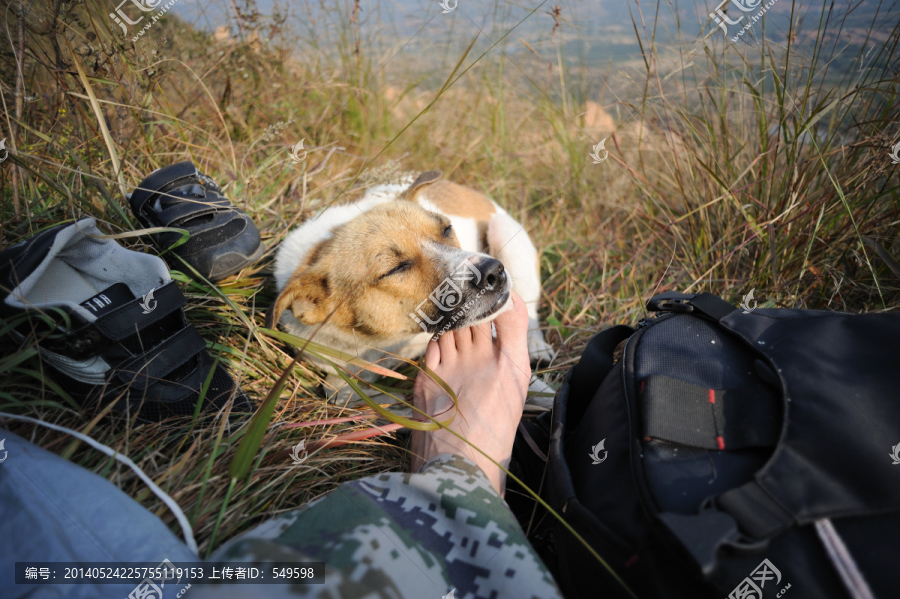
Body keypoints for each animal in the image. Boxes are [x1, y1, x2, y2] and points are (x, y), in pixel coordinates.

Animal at [266, 171, 556, 410]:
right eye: (395, 268)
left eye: (447, 229)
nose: (492, 272)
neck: (387, 342)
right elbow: (336, 390)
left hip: (505, 235)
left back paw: (535, 345)